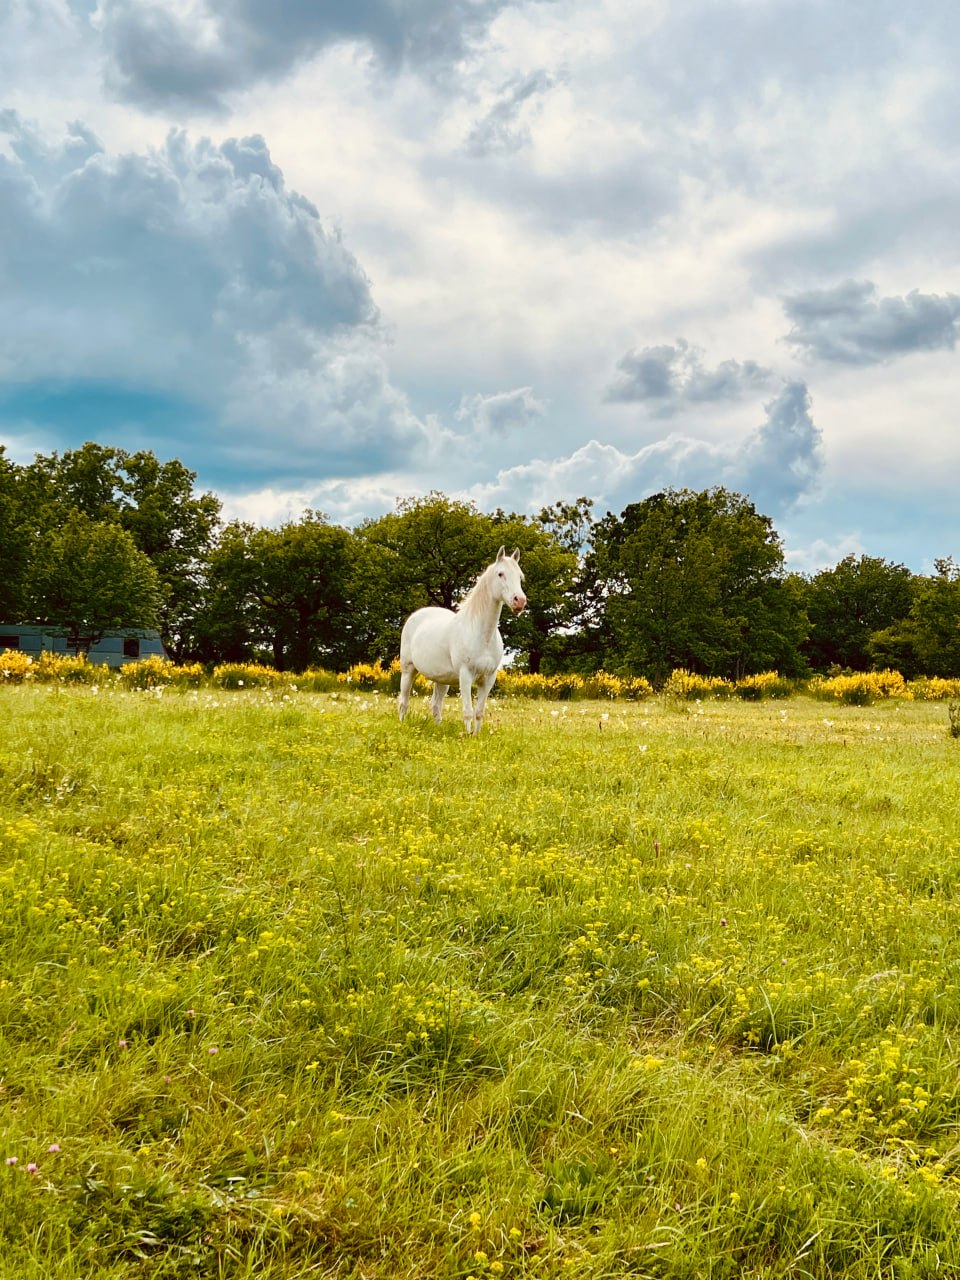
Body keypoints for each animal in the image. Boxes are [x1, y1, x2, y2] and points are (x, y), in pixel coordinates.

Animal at [398, 547, 527, 734]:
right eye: (500, 574)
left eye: (520, 576)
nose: (520, 601)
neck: (483, 635)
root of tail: (415, 616)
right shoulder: (465, 675)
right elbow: (468, 711)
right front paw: (467, 735)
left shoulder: (488, 679)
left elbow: (479, 712)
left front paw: (476, 735)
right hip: (408, 671)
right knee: (403, 702)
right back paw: (401, 724)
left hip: (441, 680)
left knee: (436, 705)